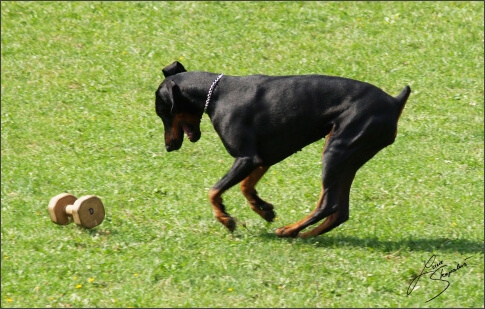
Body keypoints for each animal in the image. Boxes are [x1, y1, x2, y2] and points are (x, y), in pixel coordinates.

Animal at [154, 60, 408, 238]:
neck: (216, 94)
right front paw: (264, 209)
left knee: (328, 204)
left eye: (162, 112)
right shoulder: (264, 157)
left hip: (336, 151)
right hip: (349, 160)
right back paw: (303, 234)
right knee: (340, 211)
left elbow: (213, 191)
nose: (168, 146)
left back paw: (289, 231)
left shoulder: (247, 158)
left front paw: (226, 219)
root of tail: (395, 102)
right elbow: (246, 187)